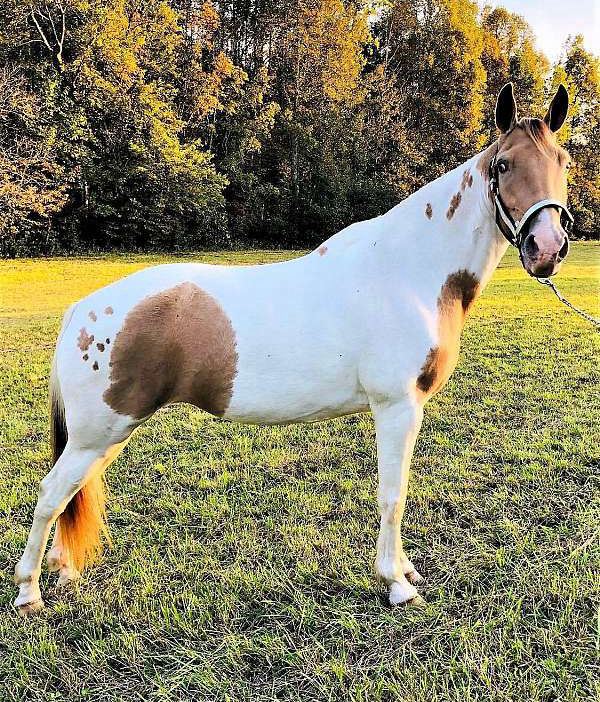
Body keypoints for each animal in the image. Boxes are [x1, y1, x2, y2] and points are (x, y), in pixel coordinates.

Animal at [14, 83, 574, 614]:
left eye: (564, 161)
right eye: (503, 164)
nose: (547, 248)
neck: (408, 270)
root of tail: (84, 309)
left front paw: (406, 570)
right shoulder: (397, 407)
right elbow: (392, 494)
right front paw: (395, 584)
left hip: (107, 436)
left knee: (70, 495)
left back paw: (62, 571)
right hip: (97, 434)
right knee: (49, 495)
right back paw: (28, 592)